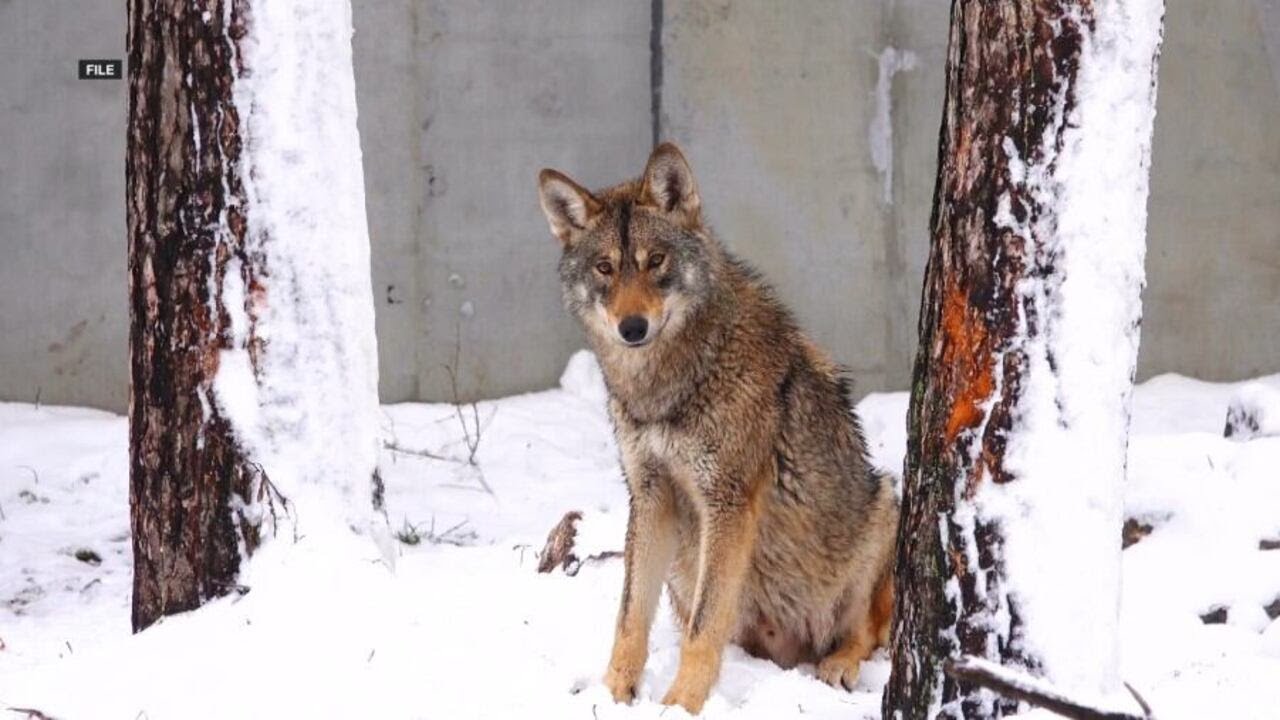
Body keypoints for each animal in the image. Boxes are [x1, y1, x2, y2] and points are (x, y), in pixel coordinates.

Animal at [536, 143, 899, 714]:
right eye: (605, 268)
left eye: (656, 261)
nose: (632, 328)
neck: (669, 385)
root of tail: (788, 654)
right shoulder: (650, 495)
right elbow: (630, 616)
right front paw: (614, 694)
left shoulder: (727, 502)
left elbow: (703, 630)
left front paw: (679, 705)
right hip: (686, 566)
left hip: (881, 503)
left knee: (868, 632)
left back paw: (838, 665)